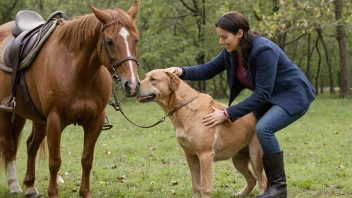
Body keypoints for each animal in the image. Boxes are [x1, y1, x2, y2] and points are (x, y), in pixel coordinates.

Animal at [0, 1, 140, 196]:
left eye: (136, 40)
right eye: (109, 41)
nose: (132, 85)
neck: (78, 72)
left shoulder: (95, 122)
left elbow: (87, 160)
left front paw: (85, 193)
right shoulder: (54, 120)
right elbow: (54, 161)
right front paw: (53, 193)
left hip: (29, 116)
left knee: (30, 145)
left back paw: (30, 186)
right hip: (7, 113)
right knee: (9, 143)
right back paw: (14, 185)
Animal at [136, 69, 266, 196]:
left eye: (153, 79)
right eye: (146, 77)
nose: (135, 86)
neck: (185, 108)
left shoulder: (205, 155)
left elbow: (205, 187)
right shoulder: (190, 155)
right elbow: (196, 185)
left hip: (255, 156)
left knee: (262, 180)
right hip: (238, 159)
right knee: (252, 179)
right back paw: (241, 194)